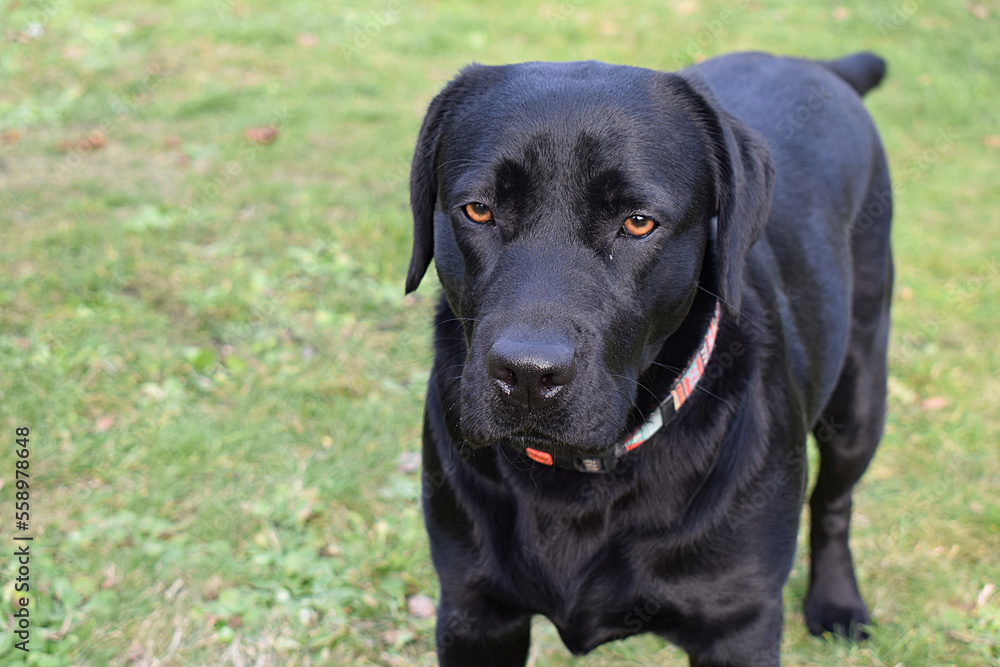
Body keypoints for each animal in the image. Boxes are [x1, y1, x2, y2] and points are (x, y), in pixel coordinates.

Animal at [404, 53, 892, 667]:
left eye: (638, 222)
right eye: (478, 211)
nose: (528, 375)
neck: (580, 487)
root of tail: (821, 64)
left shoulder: (739, 624)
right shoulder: (475, 612)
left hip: (860, 398)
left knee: (834, 503)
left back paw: (837, 603)